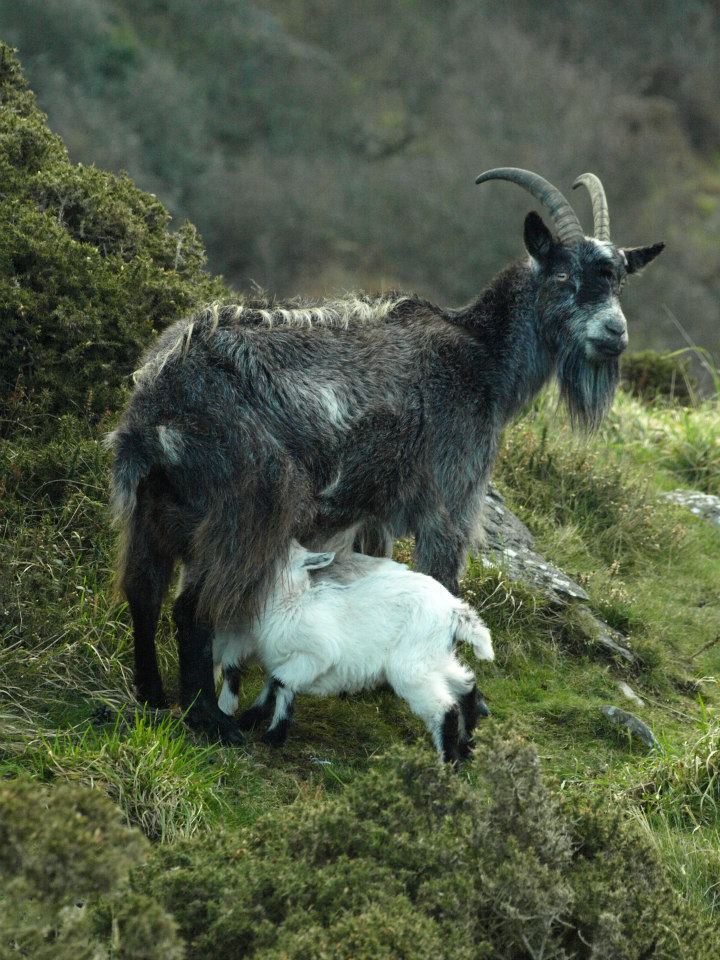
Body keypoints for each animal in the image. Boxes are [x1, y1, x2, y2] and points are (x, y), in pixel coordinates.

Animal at [212, 541, 494, 762]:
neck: (291, 604)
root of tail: (454, 611)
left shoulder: (316, 654)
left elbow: (281, 683)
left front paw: (273, 735)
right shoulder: (286, 660)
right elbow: (276, 685)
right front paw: (253, 720)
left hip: (411, 668)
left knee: (445, 709)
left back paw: (448, 763)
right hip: (433, 656)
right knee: (466, 685)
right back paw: (466, 746)